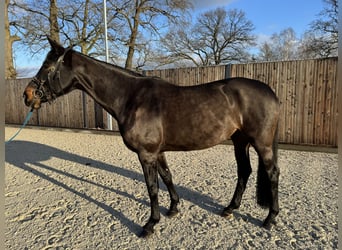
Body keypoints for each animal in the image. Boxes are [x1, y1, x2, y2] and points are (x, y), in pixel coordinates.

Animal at [24, 36, 280, 236]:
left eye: (47, 67)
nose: (28, 95)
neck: (131, 98)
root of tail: (270, 92)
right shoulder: (158, 152)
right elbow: (167, 177)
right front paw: (173, 208)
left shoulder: (146, 154)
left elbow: (152, 187)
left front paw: (150, 224)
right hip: (240, 141)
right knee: (244, 171)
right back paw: (230, 208)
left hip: (261, 143)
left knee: (272, 174)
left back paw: (270, 218)